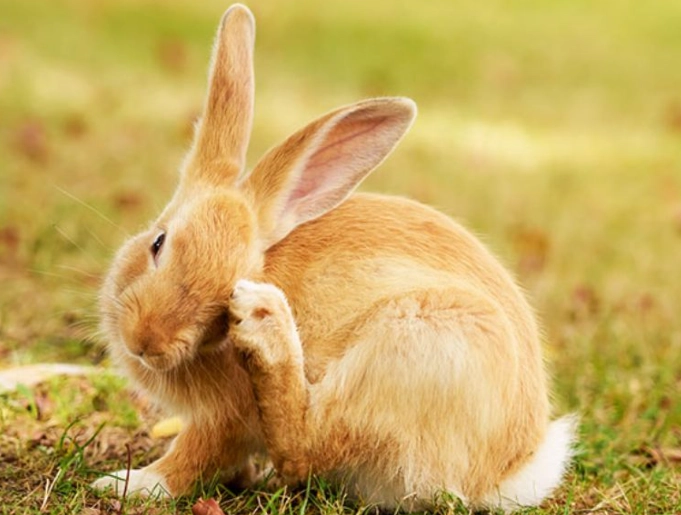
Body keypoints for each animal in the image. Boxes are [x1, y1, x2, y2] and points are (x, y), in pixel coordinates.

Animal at [92, 4, 575, 512]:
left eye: (229, 291)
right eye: (158, 243)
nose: (147, 341)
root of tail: (505, 472)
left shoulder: (224, 419)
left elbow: (193, 459)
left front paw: (128, 483)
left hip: (413, 347)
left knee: (306, 447)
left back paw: (267, 325)